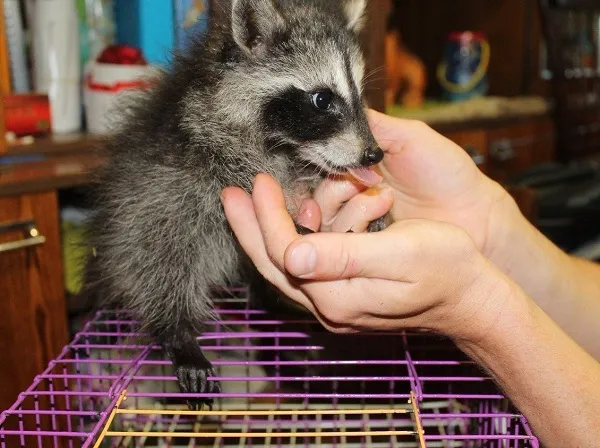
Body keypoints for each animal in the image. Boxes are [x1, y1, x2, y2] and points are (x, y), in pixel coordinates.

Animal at [82, 0, 386, 410]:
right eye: (322, 100)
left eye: (361, 94)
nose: (374, 154)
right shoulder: (201, 138)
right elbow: (228, 173)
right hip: (140, 211)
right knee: (159, 256)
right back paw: (177, 331)